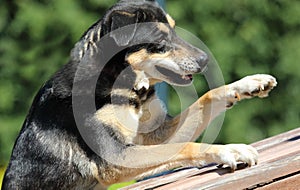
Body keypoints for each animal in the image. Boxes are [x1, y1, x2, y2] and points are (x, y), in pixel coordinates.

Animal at [2, 0, 278, 189]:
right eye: (160, 38)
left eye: (174, 30)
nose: (205, 60)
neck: (126, 87)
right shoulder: (116, 156)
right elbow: (183, 147)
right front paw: (230, 150)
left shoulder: (150, 136)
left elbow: (206, 98)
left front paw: (249, 84)